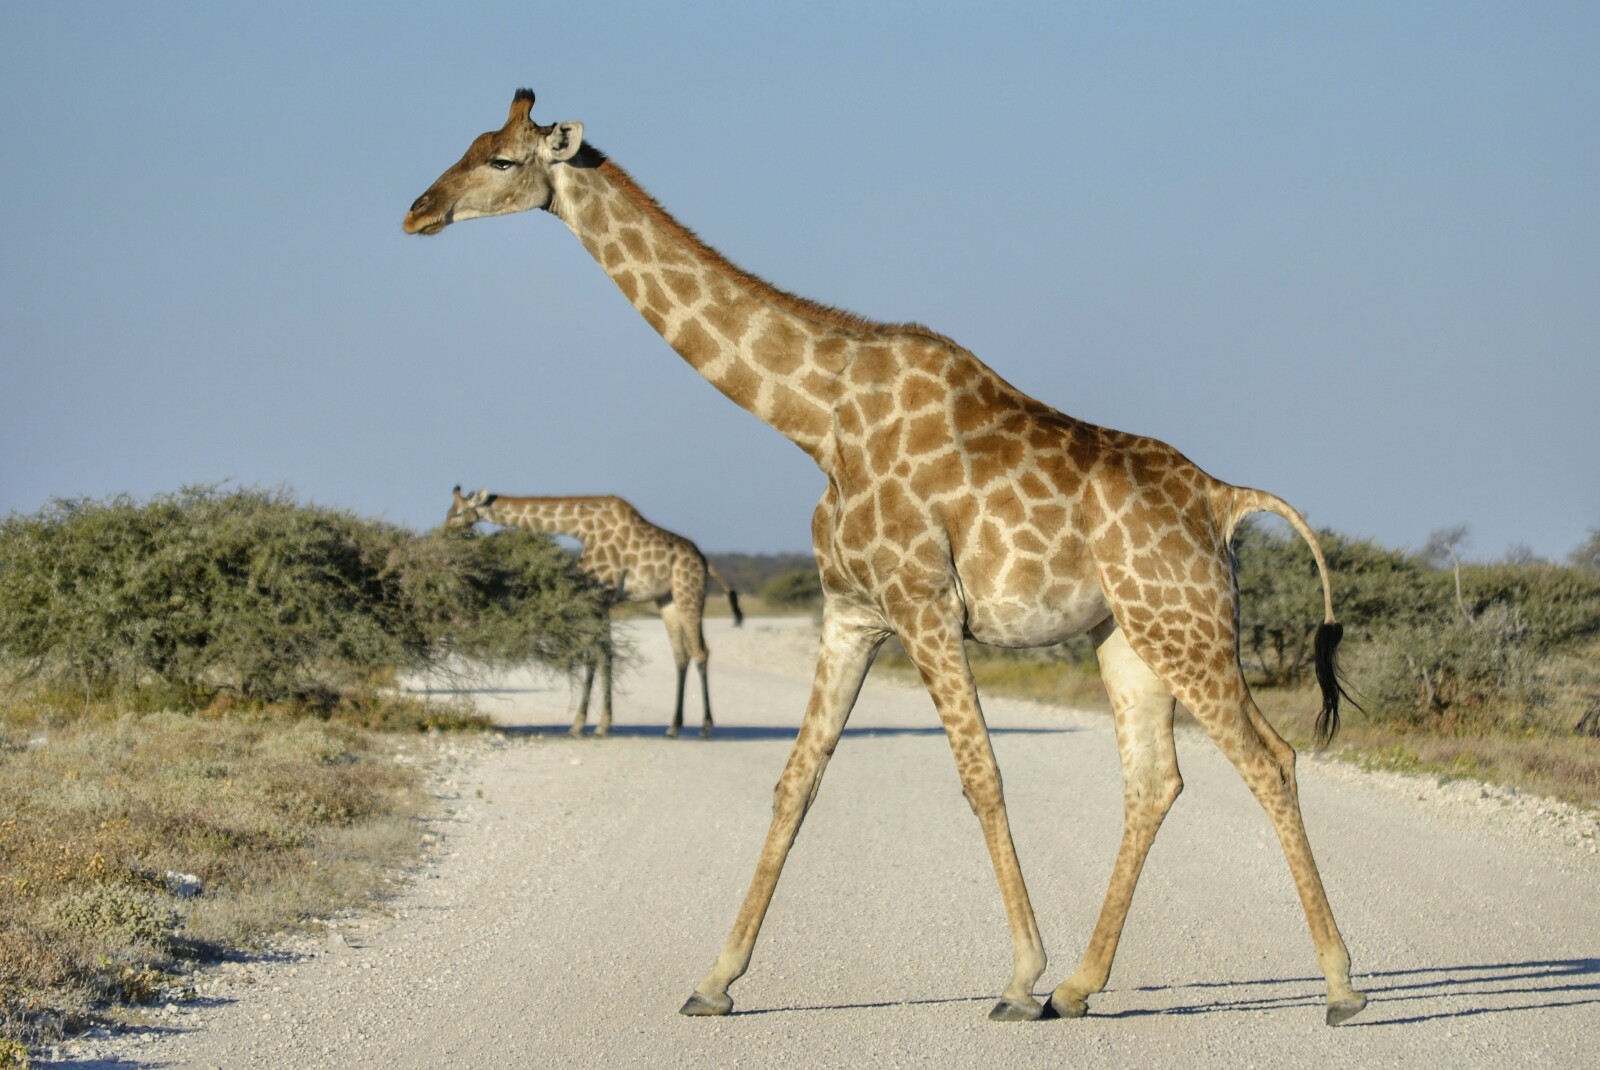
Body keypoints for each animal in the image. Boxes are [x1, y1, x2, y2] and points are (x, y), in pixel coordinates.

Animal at [445, 487, 743, 738]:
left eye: (458, 512)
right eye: (450, 511)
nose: (444, 533)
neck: (581, 528)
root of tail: (704, 561)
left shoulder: (601, 594)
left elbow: (598, 655)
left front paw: (589, 724)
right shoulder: (597, 598)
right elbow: (601, 655)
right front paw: (594, 723)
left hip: (688, 593)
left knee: (700, 652)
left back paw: (705, 727)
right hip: (666, 600)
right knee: (681, 654)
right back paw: (673, 727)